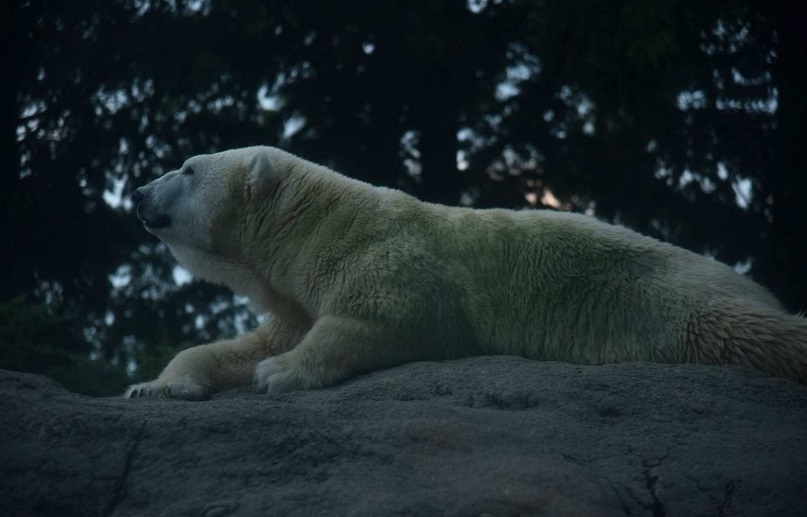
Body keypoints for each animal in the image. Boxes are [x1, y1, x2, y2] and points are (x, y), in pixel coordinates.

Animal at [123, 145, 804, 400]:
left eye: (187, 168)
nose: (137, 191)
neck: (319, 223)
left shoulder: (387, 253)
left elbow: (390, 317)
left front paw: (282, 372)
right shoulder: (294, 296)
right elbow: (244, 344)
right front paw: (156, 386)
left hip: (662, 300)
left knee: (736, 329)